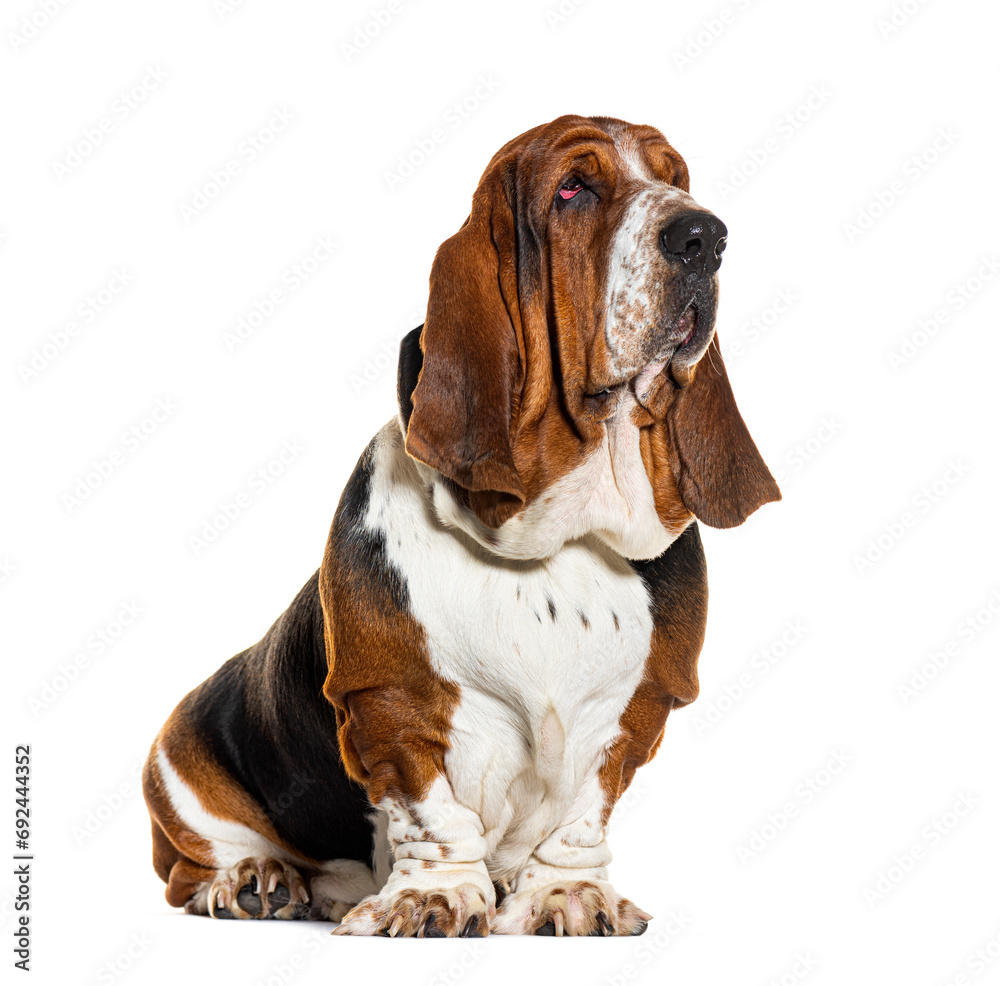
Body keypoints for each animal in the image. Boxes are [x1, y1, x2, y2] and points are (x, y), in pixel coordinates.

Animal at [141, 111, 780, 936]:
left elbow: (583, 815)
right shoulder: (395, 706)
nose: (705, 235)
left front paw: (568, 895)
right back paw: (258, 879)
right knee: (187, 867)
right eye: (573, 188)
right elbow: (432, 811)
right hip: (178, 765)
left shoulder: (635, 714)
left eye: (677, 179)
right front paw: (432, 897)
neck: (556, 541)